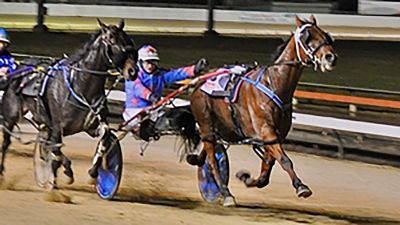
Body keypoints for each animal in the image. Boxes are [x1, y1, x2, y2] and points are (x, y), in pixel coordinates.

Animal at [0, 19, 138, 192]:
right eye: (112, 40)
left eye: (128, 40)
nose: (133, 71)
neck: (81, 84)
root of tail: (19, 67)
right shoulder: (58, 127)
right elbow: (55, 151)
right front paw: (63, 177)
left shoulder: (91, 126)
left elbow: (105, 137)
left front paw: (93, 173)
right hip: (10, 117)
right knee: (6, 143)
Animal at [188, 15, 338, 206]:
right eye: (307, 36)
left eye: (325, 35)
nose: (330, 57)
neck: (274, 84)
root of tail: (200, 82)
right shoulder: (267, 132)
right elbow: (285, 160)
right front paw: (301, 186)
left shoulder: (274, 136)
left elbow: (266, 172)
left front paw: (246, 178)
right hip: (206, 124)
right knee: (213, 160)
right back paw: (225, 193)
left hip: (227, 128)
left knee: (210, 150)